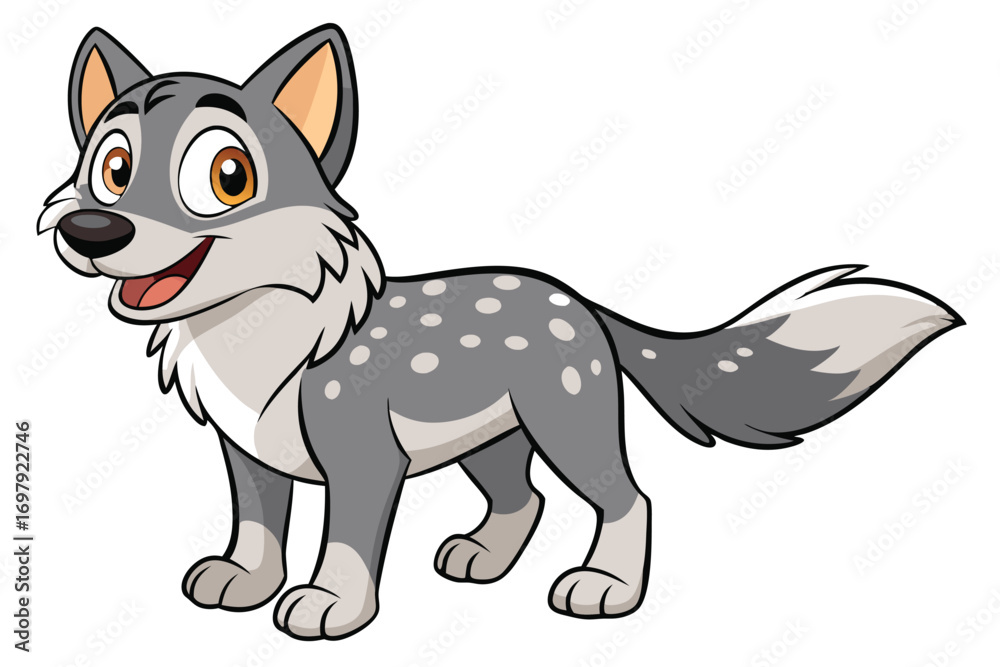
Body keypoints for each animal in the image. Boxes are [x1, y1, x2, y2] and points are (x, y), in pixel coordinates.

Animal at [39, 25, 962, 640]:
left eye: (225, 176)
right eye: (110, 167)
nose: (91, 229)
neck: (260, 333)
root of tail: (579, 300)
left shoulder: (364, 461)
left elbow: (346, 541)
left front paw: (331, 606)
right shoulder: (248, 453)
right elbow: (258, 523)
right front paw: (244, 581)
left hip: (567, 424)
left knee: (627, 498)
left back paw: (604, 589)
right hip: (490, 440)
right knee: (525, 498)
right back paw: (483, 557)